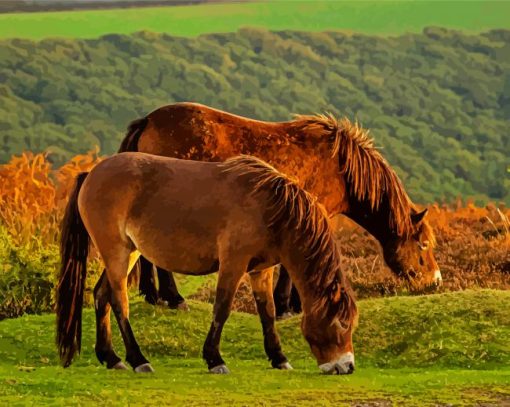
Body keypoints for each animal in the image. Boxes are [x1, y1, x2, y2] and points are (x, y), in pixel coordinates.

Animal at [55, 154, 356, 376]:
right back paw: (138, 359)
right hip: (116, 252)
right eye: (340, 323)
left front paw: (278, 357)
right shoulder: (233, 263)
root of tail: (91, 174)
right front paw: (215, 359)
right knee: (119, 302)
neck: (270, 207)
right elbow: (221, 309)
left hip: (129, 253)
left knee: (101, 295)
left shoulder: (261, 270)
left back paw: (111, 357)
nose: (347, 366)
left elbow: (267, 312)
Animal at [117, 103, 440, 316]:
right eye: (423, 244)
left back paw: (153, 294)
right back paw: (173, 298)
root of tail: (148, 120)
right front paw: (289, 305)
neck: (339, 167)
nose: (434, 281)